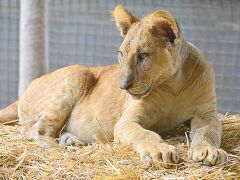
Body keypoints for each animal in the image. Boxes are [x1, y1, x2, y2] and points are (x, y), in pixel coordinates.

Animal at [0, 5, 227, 169]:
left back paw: (71, 141)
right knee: (34, 131)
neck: (173, 85)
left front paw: (209, 152)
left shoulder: (206, 114)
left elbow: (208, 133)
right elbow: (144, 134)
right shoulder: (126, 121)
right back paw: (62, 151)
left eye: (143, 56)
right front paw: (159, 150)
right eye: (121, 54)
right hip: (79, 72)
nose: (123, 86)